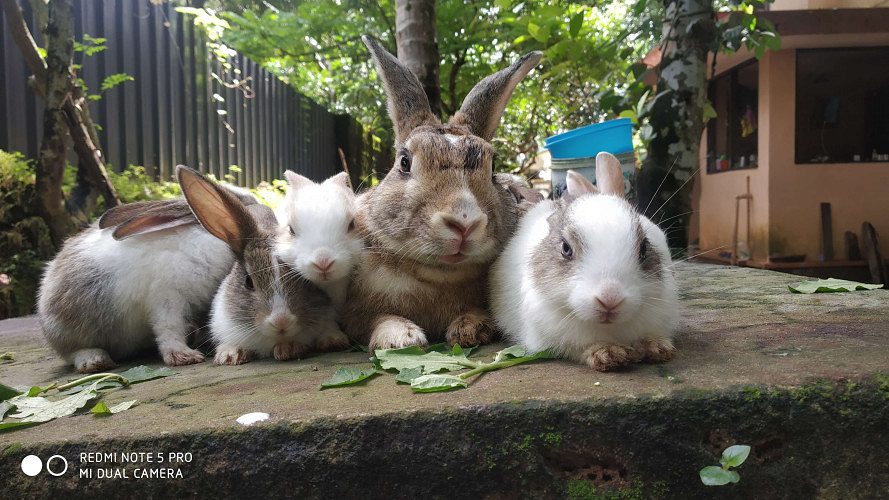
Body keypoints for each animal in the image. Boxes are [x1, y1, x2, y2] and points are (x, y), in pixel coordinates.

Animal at [38, 188, 246, 373]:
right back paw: (95, 362)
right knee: (74, 353)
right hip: (68, 332)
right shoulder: (167, 297)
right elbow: (168, 328)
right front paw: (184, 356)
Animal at [340, 35, 542, 351]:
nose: (464, 223)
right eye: (404, 162)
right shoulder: (354, 316)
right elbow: (378, 317)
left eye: (493, 167)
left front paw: (470, 328)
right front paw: (400, 338)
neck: (437, 275)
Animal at [489, 152, 679, 372]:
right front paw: (608, 353)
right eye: (565, 248)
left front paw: (657, 347)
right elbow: (580, 348)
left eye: (644, 248)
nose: (610, 299)